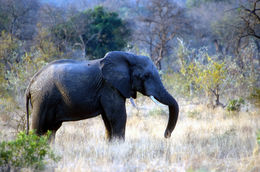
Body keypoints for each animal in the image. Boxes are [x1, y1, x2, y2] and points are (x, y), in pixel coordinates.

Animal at [25, 51, 179, 141]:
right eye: (146, 76)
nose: (166, 136)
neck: (129, 57)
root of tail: (30, 84)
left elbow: (108, 118)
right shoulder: (109, 86)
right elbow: (118, 116)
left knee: (51, 130)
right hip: (43, 98)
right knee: (38, 128)